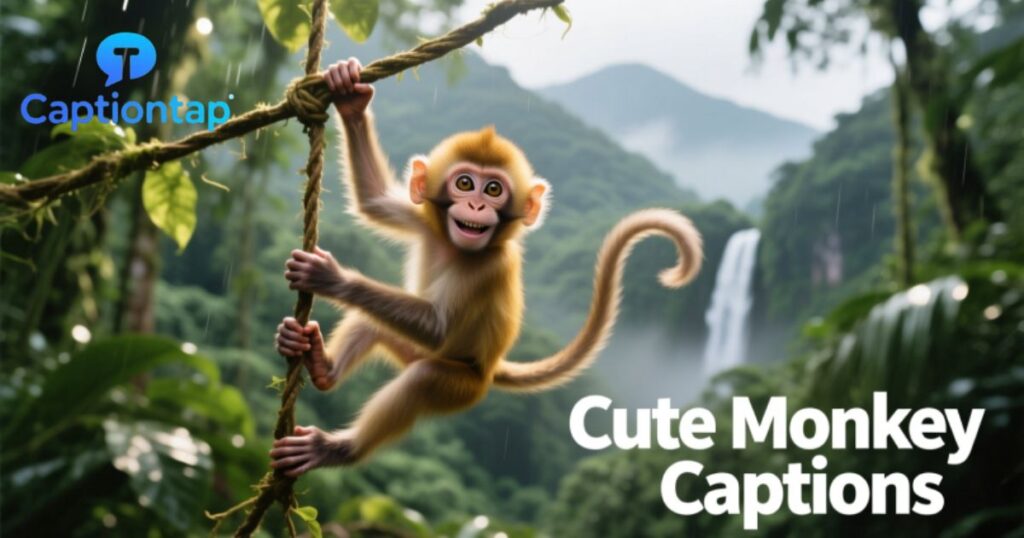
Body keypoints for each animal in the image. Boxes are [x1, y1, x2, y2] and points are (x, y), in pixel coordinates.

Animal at [269, 57, 703, 477]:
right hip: (411, 349)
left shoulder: (491, 267)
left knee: (423, 378)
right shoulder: (428, 223)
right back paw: (321, 365)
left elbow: (437, 326)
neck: (455, 247)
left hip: (462, 384)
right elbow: (373, 201)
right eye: (464, 183)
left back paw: (339, 448)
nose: (476, 206)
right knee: (371, 322)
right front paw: (350, 96)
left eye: (493, 189)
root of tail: (492, 367)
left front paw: (331, 277)